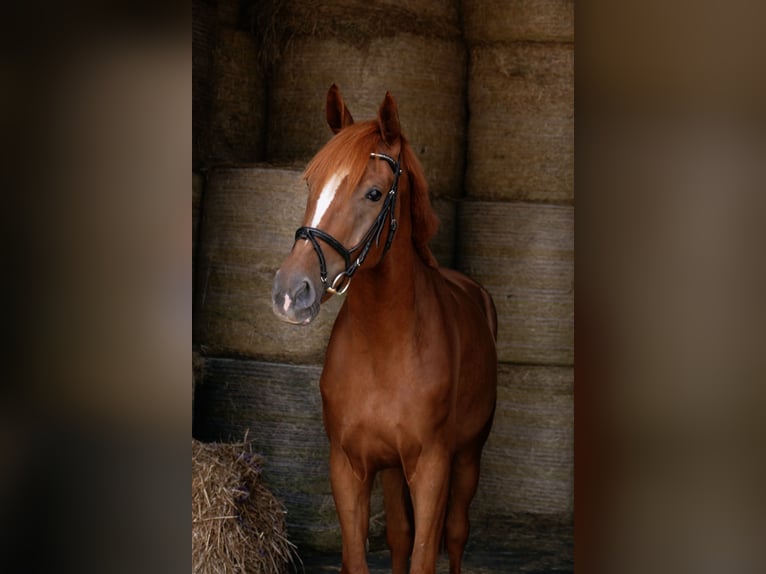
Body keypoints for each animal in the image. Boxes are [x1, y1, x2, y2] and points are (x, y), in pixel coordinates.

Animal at [272, 85, 500, 574]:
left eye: (375, 193)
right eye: (311, 184)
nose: (290, 292)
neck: (385, 346)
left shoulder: (432, 468)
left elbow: (424, 554)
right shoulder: (348, 465)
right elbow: (363, 554)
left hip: (468, 458)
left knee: (456, 535)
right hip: (393, 468)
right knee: (398, 535)